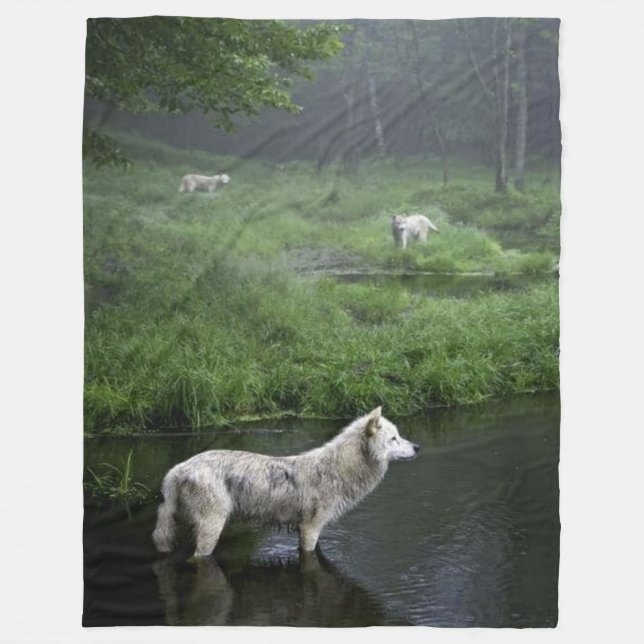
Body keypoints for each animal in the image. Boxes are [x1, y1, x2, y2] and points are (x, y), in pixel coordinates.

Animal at [152, 407, 420, 557]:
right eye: (394, 438)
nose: (418, 447)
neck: (338, 469)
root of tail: (177, 469)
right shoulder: (310, 529)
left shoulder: (308, 529)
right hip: (212, 528)